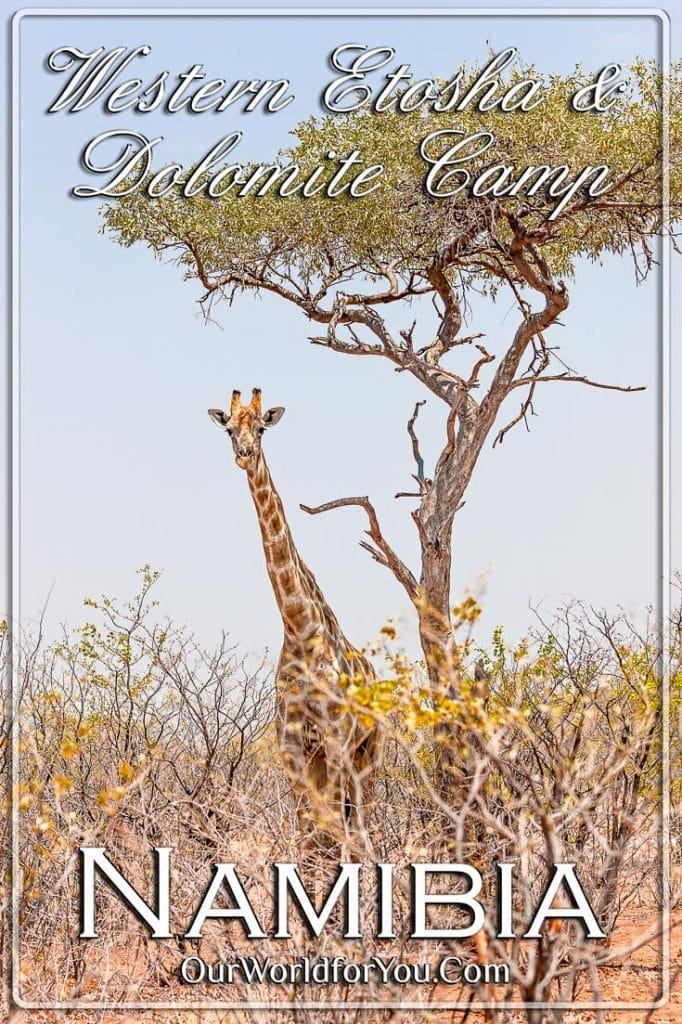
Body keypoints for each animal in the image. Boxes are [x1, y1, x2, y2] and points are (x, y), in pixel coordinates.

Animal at [205, 387, 382, 851]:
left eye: (262, 428)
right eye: (229, 429)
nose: (244, 454)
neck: (301, 627)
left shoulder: (337, 740)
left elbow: (335, 831)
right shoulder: (293, 747)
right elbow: (305, 832)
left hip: (369, 756)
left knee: (360, 827)